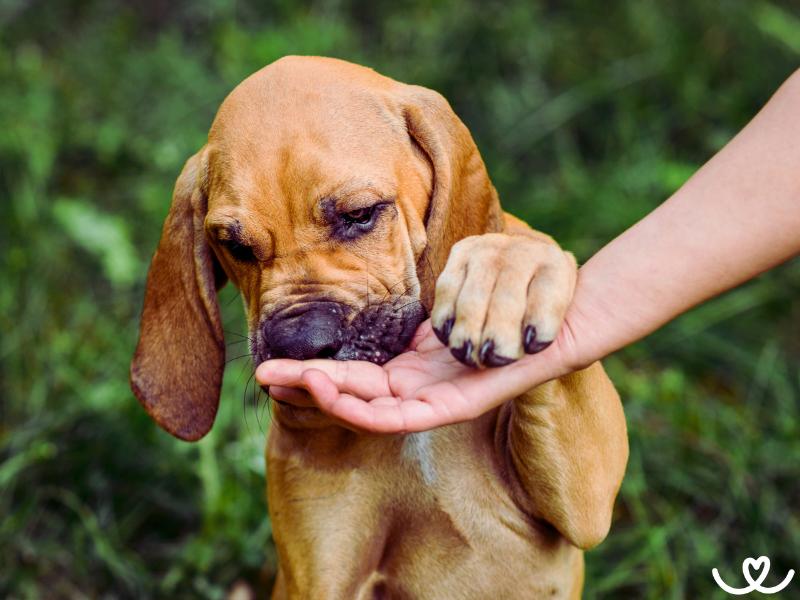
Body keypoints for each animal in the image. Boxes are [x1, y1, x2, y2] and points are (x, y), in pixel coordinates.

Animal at [131, 57, 628, 600]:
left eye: (360, 215)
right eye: (234, 247)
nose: (301, 345)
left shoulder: (586, 498)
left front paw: (508, 273)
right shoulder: (321, 571)